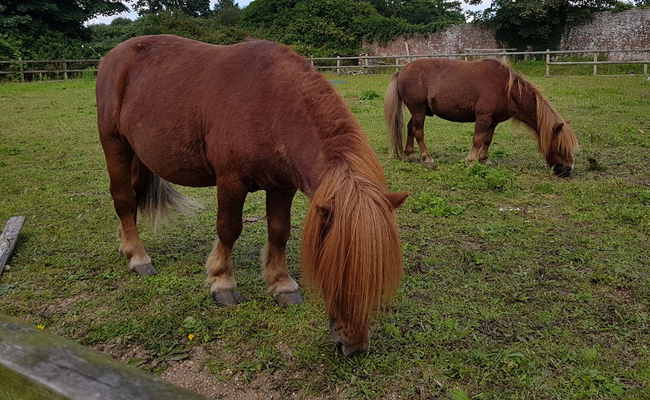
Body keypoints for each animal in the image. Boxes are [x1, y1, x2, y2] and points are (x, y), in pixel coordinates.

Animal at [95, 35, 404, 356]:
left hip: (142, 156)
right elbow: (229, 230)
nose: (354, 348)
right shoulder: (231, 181)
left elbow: (279, 232)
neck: (270, 103)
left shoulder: (282, 186)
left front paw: (282, 285)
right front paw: (223, 283)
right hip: (115, 144)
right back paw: (138, 257)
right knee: (123, 198)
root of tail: (112, 57)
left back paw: (126, 245)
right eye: (337, 271)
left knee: (134, 196)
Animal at [382, 57, 576, 177]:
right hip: (418, 110)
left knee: (410, 129)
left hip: (419, 111)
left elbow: (487, 140)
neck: (507, 90)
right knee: (419, 132)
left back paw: (410, 155)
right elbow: (477, 139)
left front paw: (484, 160)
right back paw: (427, 158)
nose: (568, 170)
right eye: (561, 146)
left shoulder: (493, 121)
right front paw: (470, 161)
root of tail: (401, 71)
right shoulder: (483, 117)